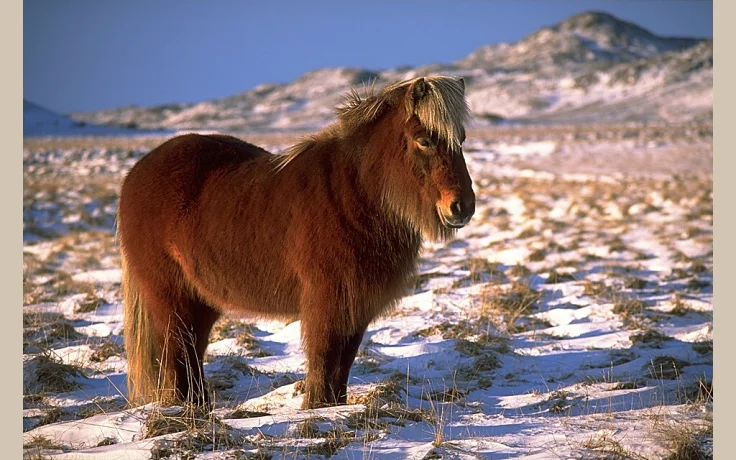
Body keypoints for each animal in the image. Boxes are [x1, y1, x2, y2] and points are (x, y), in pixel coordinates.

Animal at [118, 75, 475, 410]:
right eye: (424, 140)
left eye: (461, 139)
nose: (462, 207)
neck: (354, 194)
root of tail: (137, 171)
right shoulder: (327, 301)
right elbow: (324, 357)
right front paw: (316, 408)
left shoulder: (357, 305)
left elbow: (343, 363)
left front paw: (334, 406)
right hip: (170, 296)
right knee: (177, 352)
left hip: (201, 299)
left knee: (192, 350)